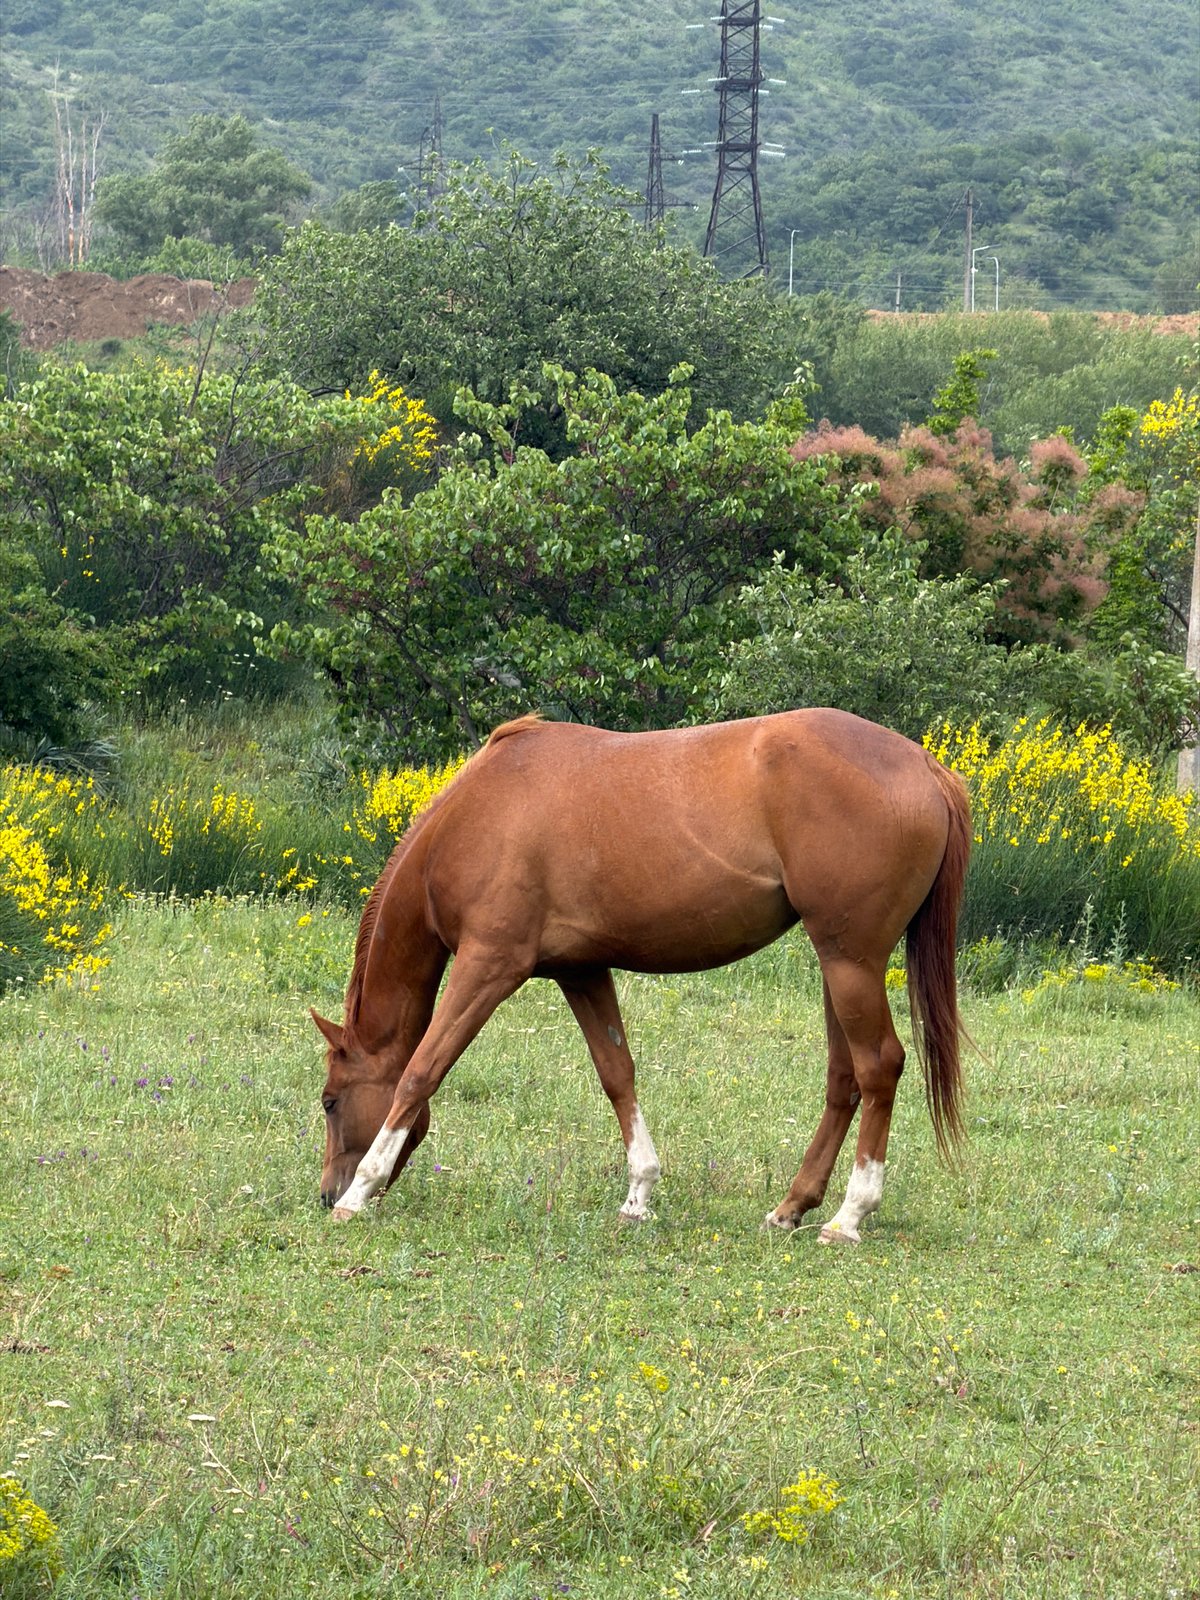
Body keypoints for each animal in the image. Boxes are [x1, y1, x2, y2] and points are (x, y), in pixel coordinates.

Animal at [314, 709, 971, 1242]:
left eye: (329, 1101)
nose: (324, 1192)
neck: (475, 815)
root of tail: (925, 767)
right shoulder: (581, 971)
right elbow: (617, 1074)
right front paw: (639, 1193)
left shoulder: (487, 966)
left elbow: (420, 1073)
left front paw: (359, 1192)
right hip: (839, 966)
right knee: (844, 1078)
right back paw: (791, 1207)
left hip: (850, 961)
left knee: (878, 1066)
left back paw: (849, 1216)